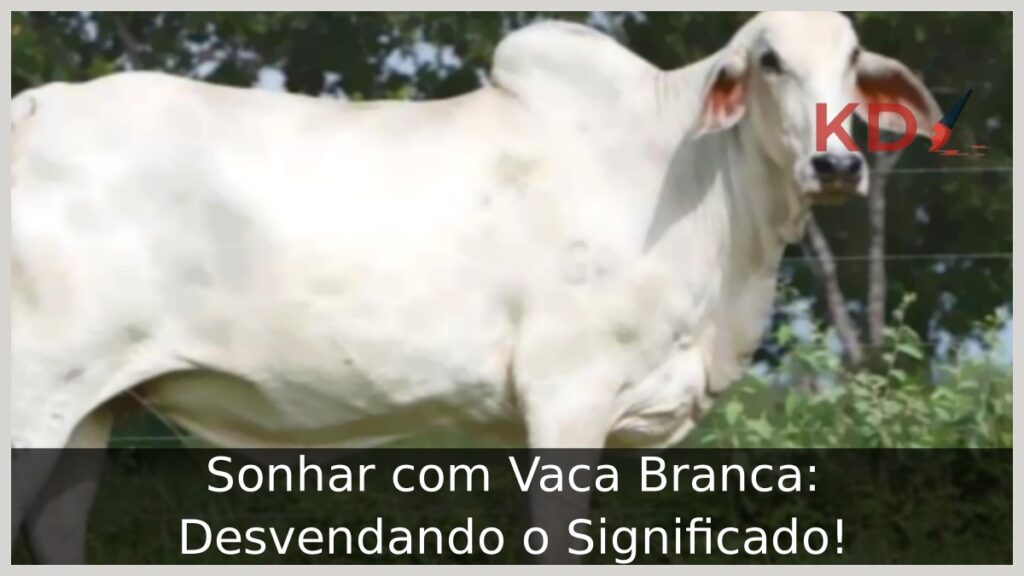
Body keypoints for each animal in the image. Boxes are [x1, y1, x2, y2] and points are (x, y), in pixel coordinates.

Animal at [11, 11, 939, 563]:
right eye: (770, 60)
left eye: (854, 58)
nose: (837, 163)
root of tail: (34, 107)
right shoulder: (568, 396)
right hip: (33, 396)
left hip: (89, 406)